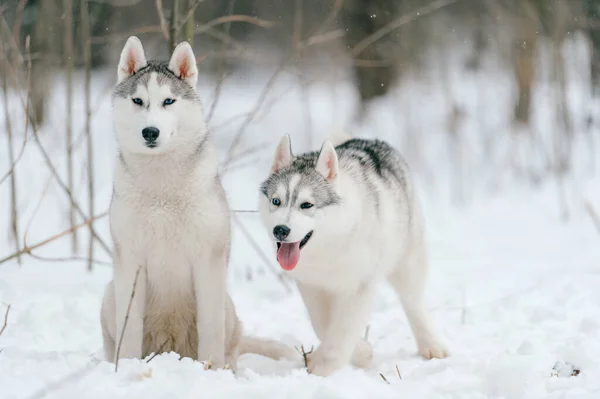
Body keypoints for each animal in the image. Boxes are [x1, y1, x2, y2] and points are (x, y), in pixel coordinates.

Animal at [101, 36, 298, 370]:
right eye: (138, 101)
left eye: (169, 101)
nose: (150, 131)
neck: (162, 189)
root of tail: (170, 347)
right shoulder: (129, 259)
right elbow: (129, 329)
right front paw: (125, 369)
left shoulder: (209, 260)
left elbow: (210, 328)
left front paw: (211, 372)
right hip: (109, 295)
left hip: (227, 305)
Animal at [258, 136, 450, 376]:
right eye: (276, 201)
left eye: (306, 205)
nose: (280, 230)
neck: (330, 246)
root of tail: (369, 140)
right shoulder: (311, 285)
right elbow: (323, 326)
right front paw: (357, 352)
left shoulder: (359, 287)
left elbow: (343, 329)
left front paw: (325, 369)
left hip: (408, 262)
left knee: (413, 302)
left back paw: (431, 344)